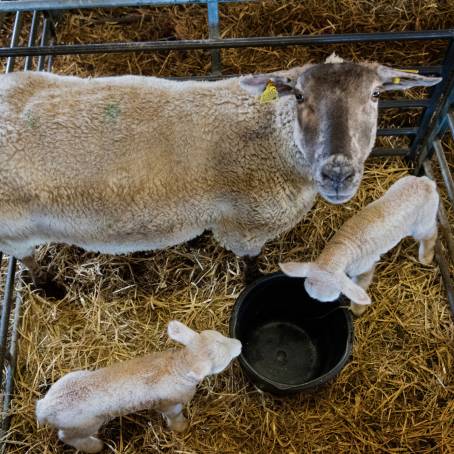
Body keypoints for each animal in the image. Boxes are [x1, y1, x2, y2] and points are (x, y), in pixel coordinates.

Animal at [0, 53, 440, 288]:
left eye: (376, 94)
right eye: (299, 95)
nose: (338, 174)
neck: (274, 141)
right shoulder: (245, 225)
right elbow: (250, 263)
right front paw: (253, 280)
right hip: (13, 232)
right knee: (26, 259)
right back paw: (49, 287)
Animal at [36, 320, 241, 452]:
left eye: (219, 335)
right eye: (223, 360)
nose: (239, 344)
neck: (179, 365)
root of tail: (45, 408)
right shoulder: (171, 404)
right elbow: (174, 417)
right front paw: (181, 427)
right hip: (84, 425)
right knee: (67, 437)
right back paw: (94, 446)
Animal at [280, 176, 440, 318]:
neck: (342, 248)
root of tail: (428, 183)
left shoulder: (364, 268)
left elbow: (361, 286)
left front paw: (357, 310)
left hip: (423, 221)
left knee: (430, 234)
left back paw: (426, 257)